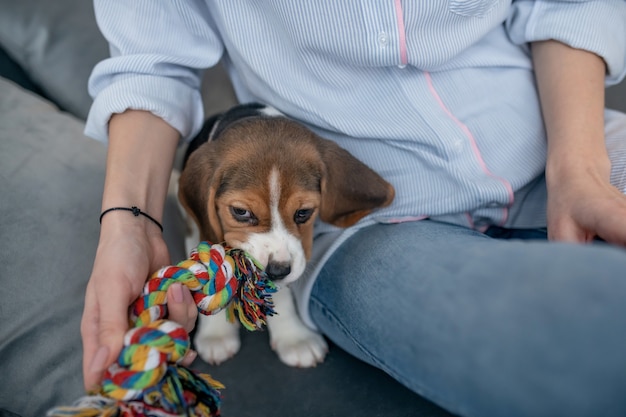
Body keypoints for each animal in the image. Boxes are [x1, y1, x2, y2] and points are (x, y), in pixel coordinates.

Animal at [178, 103, 392, 368]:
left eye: (304, 212)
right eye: (240, 212)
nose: (278, 271)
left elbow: (280, 293)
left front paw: (294, 337)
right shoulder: (198, 227)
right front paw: (216, 333)